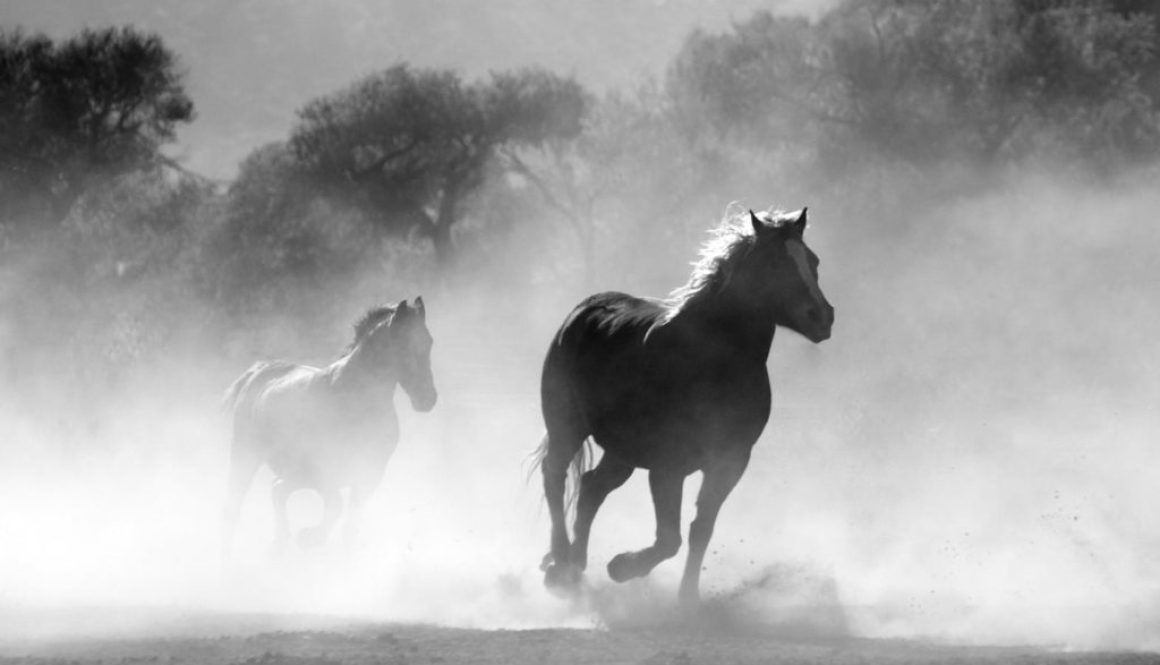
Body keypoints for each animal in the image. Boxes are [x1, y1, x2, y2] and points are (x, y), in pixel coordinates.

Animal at [218, 297, 436, 554]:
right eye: (402, 344)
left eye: (429, 342)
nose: (428, 399)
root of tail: (259, 372)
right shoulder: (324, 472)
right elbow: (336, 506)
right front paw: (309, 537)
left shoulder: (368, 476)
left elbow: (349, 527)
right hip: (246, 456)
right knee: (235, 504)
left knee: (277, 490)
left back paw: (280, 544)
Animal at [533, 207, 835, 603]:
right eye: (773, 263)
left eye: (812, 260)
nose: (822, 317)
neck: (712, 362)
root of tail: (583, 310)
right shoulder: (668, 466)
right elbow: (668, 539)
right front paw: (622, 567)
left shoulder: (730, 462)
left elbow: (700, 529)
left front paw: (687, 598)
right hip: (566, 427)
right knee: (555, 477)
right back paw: (560, 564)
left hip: (622, 451)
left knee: (591, 487)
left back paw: (575, 566)